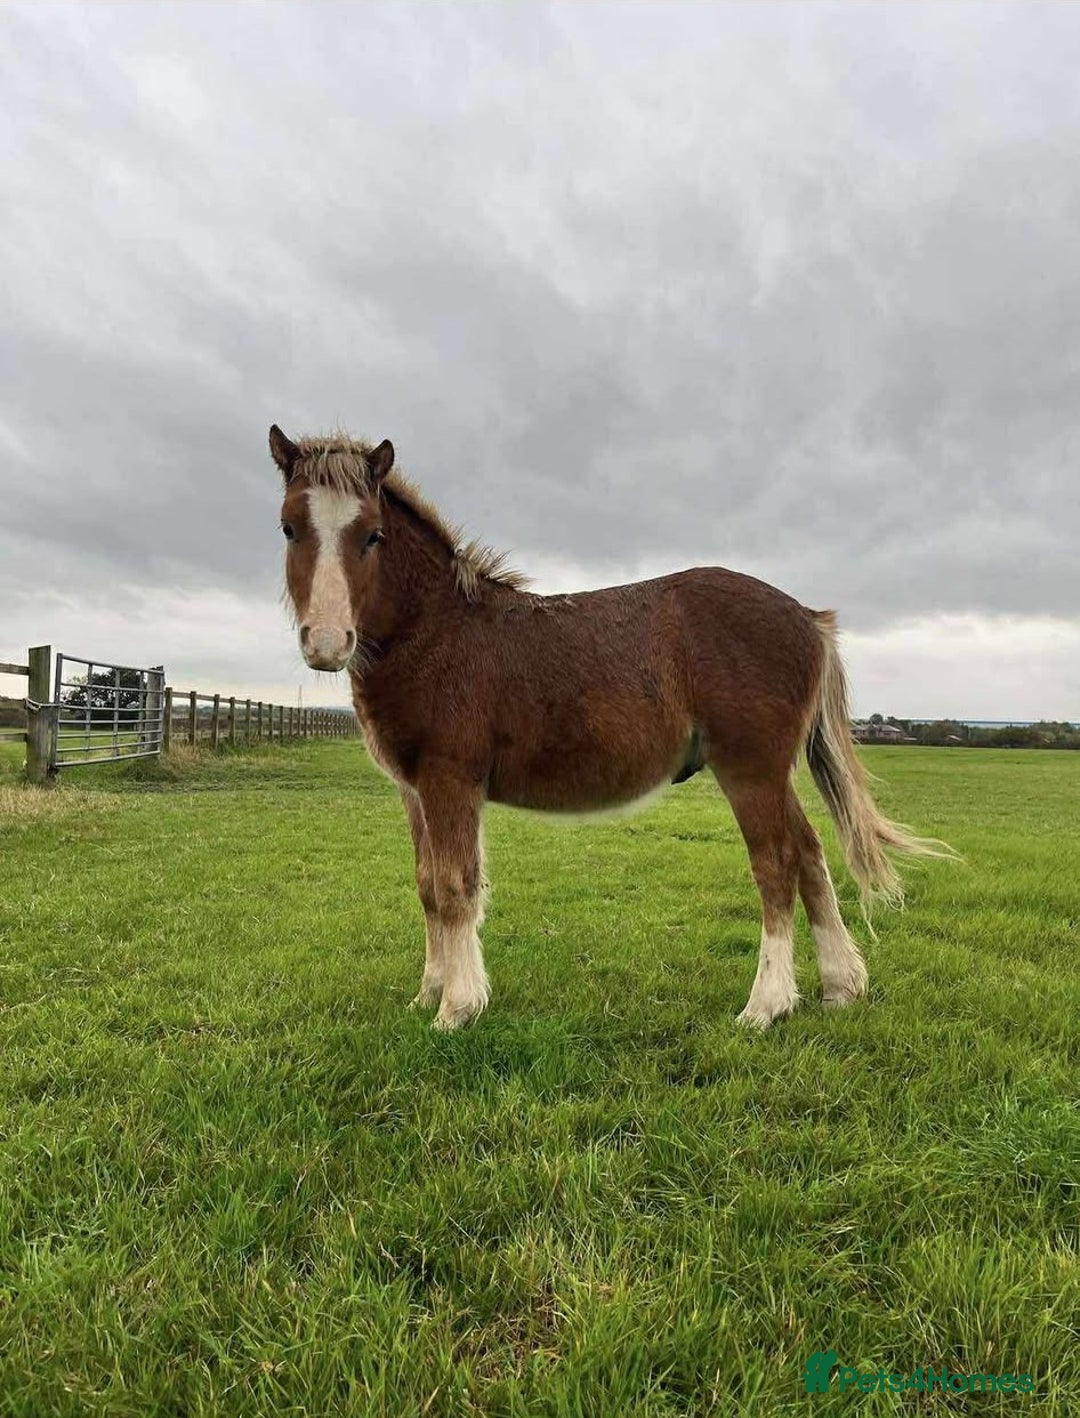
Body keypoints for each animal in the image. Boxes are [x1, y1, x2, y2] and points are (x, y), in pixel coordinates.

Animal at [269, 425, 949, 1031]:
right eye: (289, 527)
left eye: (373, 535)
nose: (326, 643)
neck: (436, 630)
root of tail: (808, 618)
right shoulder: (414, 790)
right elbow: (429, 886)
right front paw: (427, 995)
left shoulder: (450, 780)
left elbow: (458, 886)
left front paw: (456, 1010)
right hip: (769, 775)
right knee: (809, 855)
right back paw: (841, 987)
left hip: (749, 771)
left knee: (776, 865)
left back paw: (766, 1006)